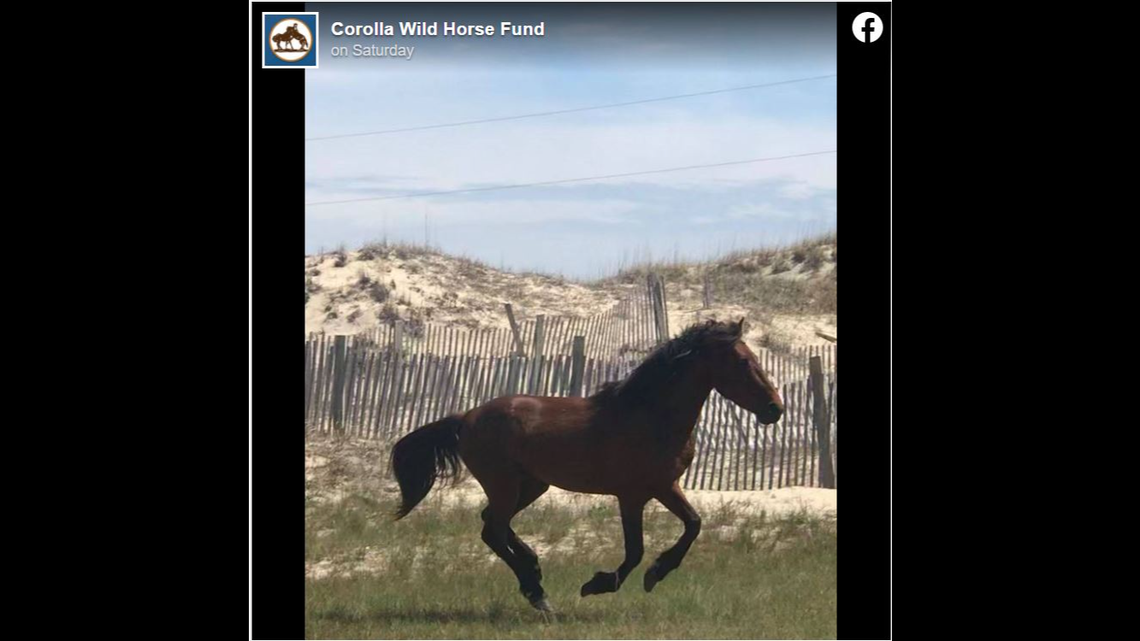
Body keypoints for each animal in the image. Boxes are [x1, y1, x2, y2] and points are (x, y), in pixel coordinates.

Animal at [390, 318, 784, 612]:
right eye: (744, 362)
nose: (775, 409)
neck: (650, 416)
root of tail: (465, 418)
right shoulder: (632, 495)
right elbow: (635, 550)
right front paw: (600, 584)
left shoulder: (665, 486)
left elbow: (693, 524)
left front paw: (656, 573)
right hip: (505, 485)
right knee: (494, 530)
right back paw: (538, 593)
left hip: (531, 485)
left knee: (492, 524)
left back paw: (534, 572)